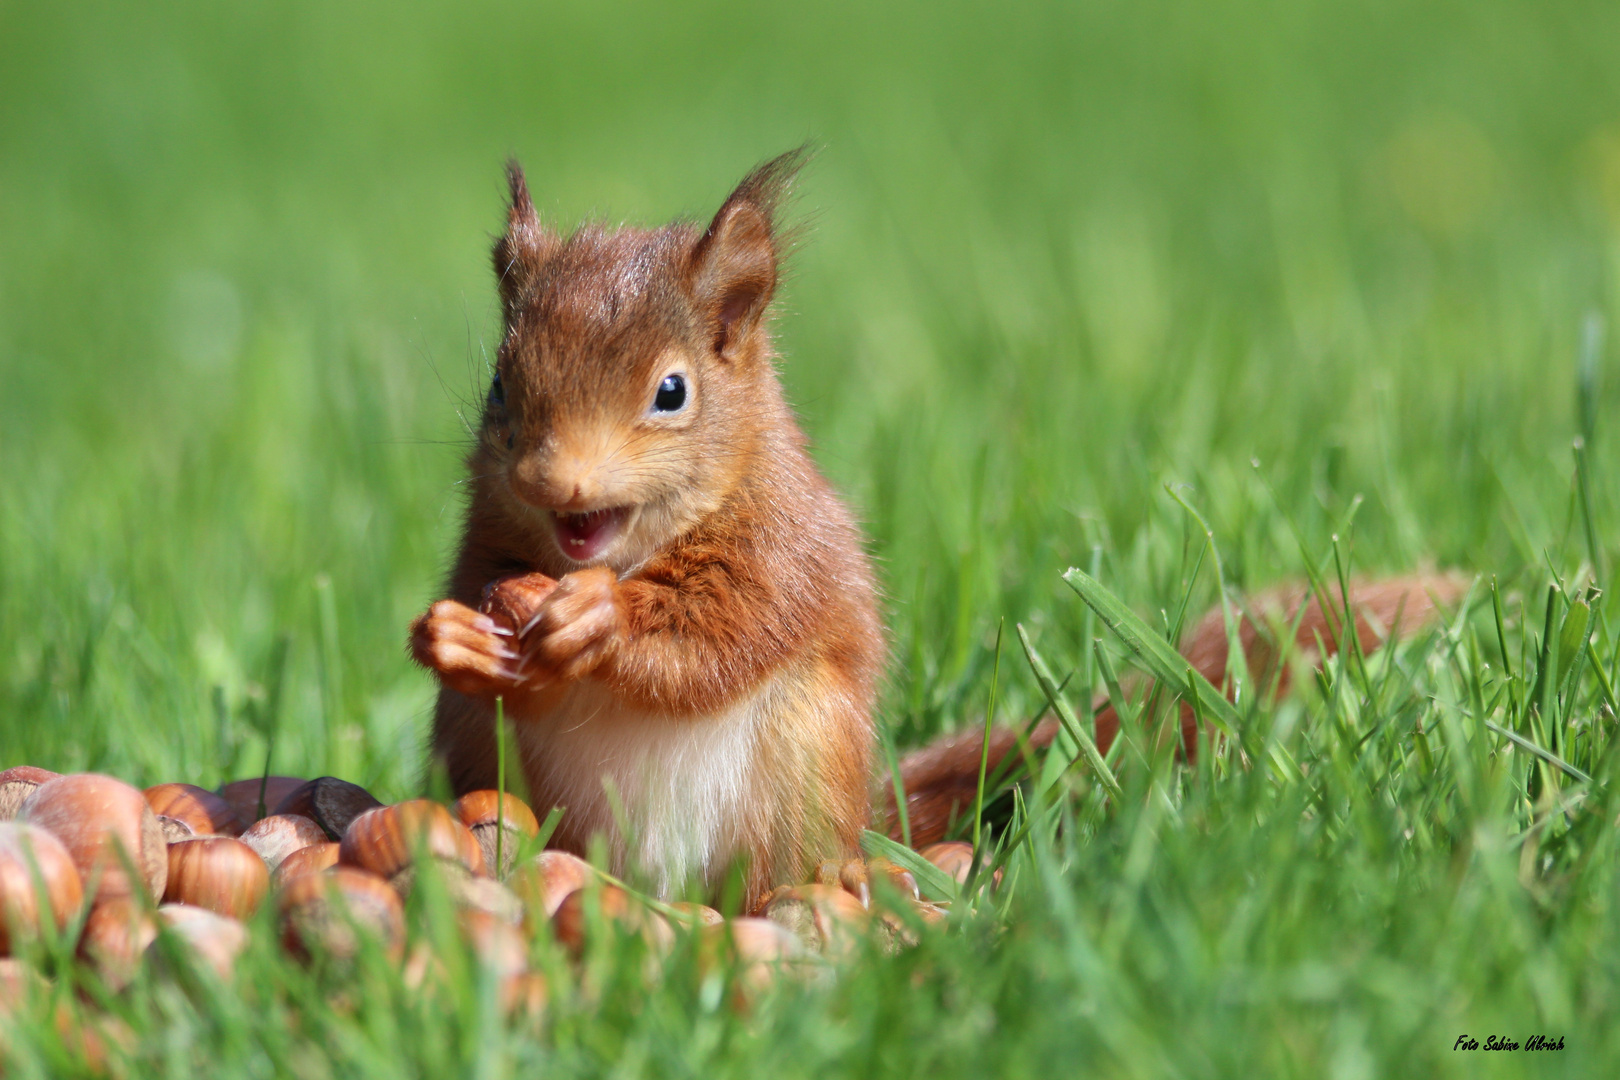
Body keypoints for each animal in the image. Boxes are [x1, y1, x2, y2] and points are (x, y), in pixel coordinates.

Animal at [408, 148, 1470, 900]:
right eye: (499, 387)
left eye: (672, 392)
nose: (555, 483)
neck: (623, 554)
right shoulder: (488, 537)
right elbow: (474, 596)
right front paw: (453, 633)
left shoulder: (782, 546)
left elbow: (724, 632)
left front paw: (597, 624)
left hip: (797, 771)